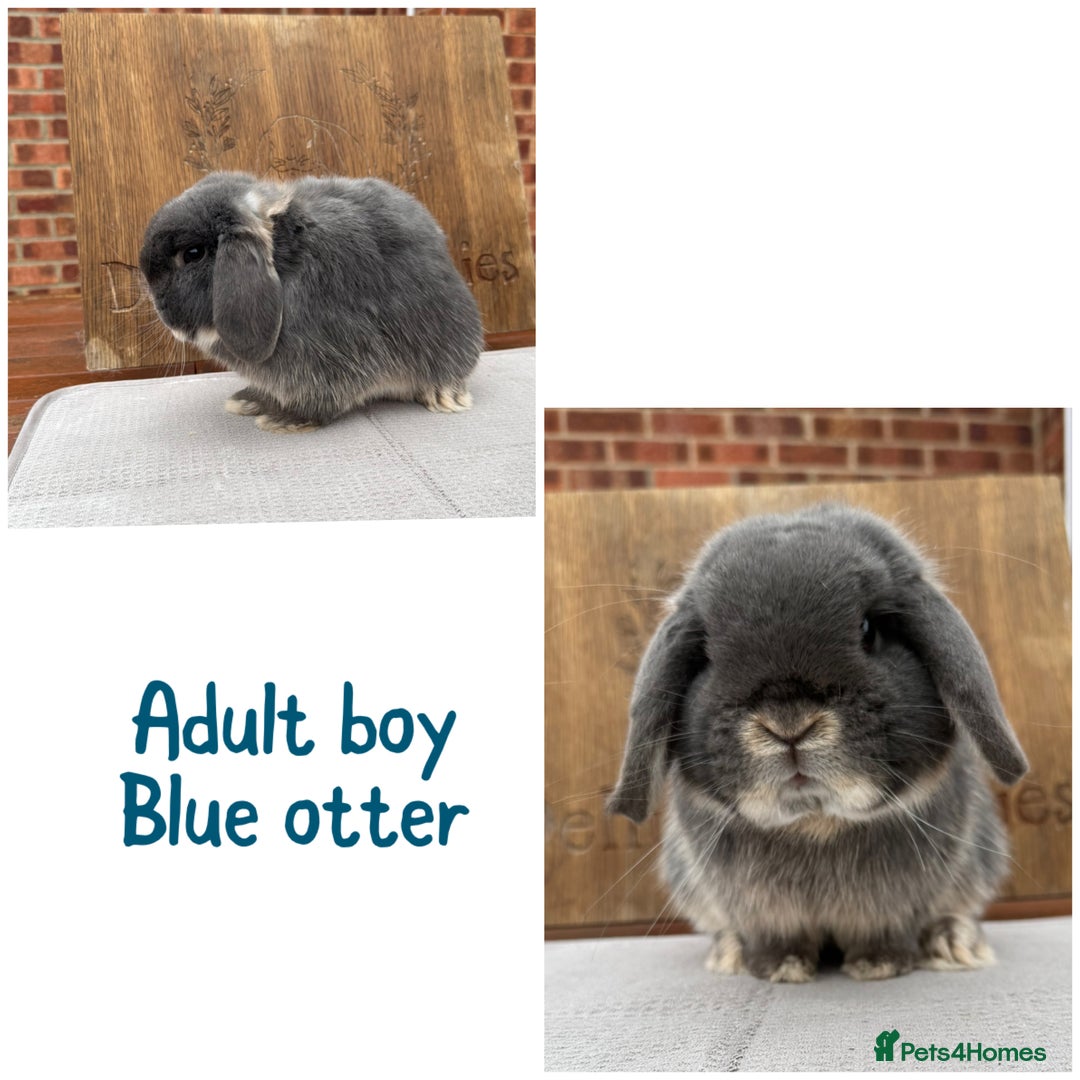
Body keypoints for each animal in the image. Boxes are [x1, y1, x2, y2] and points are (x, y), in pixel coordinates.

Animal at [139, 171, 484, 432]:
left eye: (192, 254)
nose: (159, 308)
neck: (284, 266)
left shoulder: (335, 359)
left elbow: (324, 399)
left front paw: (284, 418)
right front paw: (250, 399)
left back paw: (443, 393)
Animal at [608, 502, 1028, 982]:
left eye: (868, 630)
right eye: (708, 653)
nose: (788, 725)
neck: (817, 822)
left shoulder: (891, 909)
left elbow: (887, 931)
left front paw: (879, 964)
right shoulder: (763, 914)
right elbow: (775, 938)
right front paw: (781, 967)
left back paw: (954, 942)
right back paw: (728, 951)